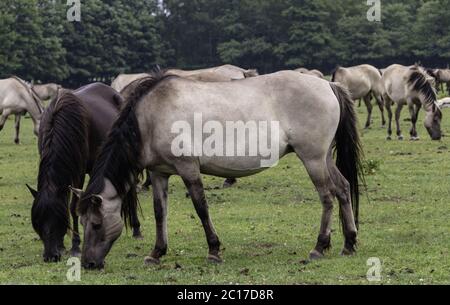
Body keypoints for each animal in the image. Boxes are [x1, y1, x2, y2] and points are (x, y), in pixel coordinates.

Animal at [26, 82, 142, 262]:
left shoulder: (78, 172)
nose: (50, 256)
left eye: (58, 220)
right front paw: (63, 245)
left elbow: (73, 207)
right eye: (37, 223)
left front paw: (75, 246)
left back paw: (136, 228)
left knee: (131, 189)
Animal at [71, 70, 366, 268]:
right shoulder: (159, 173)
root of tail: (328, 84)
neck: (151, 117)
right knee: (342, 189)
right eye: (82, 222)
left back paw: (319, 247)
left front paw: (213, 250)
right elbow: (159, 212)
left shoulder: (188, 168)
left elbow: (201, 208)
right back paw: (349, 243)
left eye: (96, 224)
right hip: (324, 158)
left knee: (327, 196)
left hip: (313, 158)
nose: (88, 264)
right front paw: (156, 253)